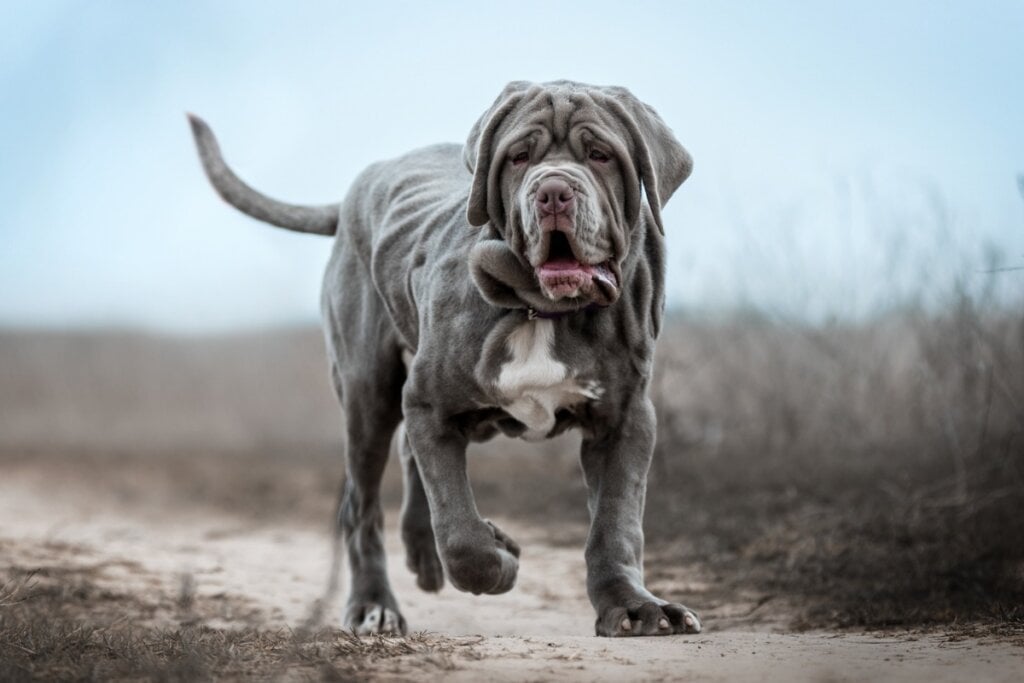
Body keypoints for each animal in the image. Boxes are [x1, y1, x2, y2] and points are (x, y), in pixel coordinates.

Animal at [188, 80, 704, 643]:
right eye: (519, 157)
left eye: (600, 154)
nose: (552, 193)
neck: (541, 309)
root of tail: (357, 188)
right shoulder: (429, 403)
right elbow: (460, 533)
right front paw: (500, 555)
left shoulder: (625, 419)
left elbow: (616, 523)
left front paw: (634, 606)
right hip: (368, 394)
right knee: (362, 505)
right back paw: (373, 605)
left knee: (410, 463)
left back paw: (419, 555)